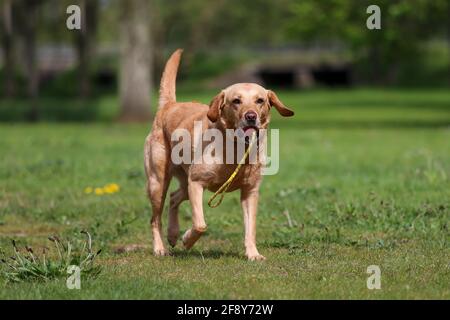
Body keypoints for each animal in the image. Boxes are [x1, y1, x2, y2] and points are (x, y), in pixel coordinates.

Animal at [143, 49, 292, 260]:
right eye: (236, 101)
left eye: (260, 100)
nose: (251, 116)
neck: (236, 149)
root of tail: (169, 105)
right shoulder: (196, 183)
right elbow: (200, 224)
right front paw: (187, 239)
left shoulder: (250, 192)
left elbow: (250, 228)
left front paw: (253, 254)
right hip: (158, 183)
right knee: (155, 218)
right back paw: (160, 248)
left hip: (184, 183)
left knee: (174, 197)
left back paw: (172, 234)